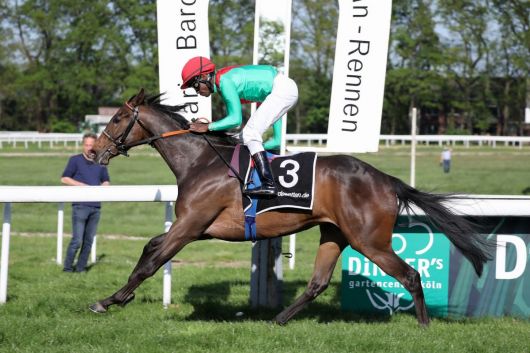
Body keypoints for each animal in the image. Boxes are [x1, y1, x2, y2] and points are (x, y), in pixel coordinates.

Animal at [88, 87, 488, 324]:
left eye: (118, 118)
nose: (93, 151)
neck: (201, 161)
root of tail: (387, 180)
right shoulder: (199, 227)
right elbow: (150, 249)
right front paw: (121, 297)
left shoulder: (191, 225)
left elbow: (152, 261)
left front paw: (107, 300)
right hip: (335, 234)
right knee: (318, 283)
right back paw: (278, 318)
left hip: (369, 240)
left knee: (410, 275)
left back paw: (423, 325)